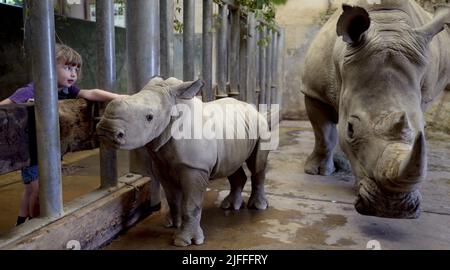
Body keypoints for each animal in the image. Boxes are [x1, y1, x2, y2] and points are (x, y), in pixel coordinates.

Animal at [96, 76, 268, 247]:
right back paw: (230, 206)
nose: (106, 130)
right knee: (231, 167)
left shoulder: (195, 167)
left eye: (149, 117)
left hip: (260, 125)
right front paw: (172, 224)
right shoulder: (162, 165)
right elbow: (172, 198)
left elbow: (191, 205)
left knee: (256, 165)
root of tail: (251, 107)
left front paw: (184, 241)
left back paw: (258, 207)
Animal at [300, 0, 450, 218]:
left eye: (421, 129)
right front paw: (316, 171)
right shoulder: (313, 91)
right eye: (350, 129)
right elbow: (324, 136)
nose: (392, 208)